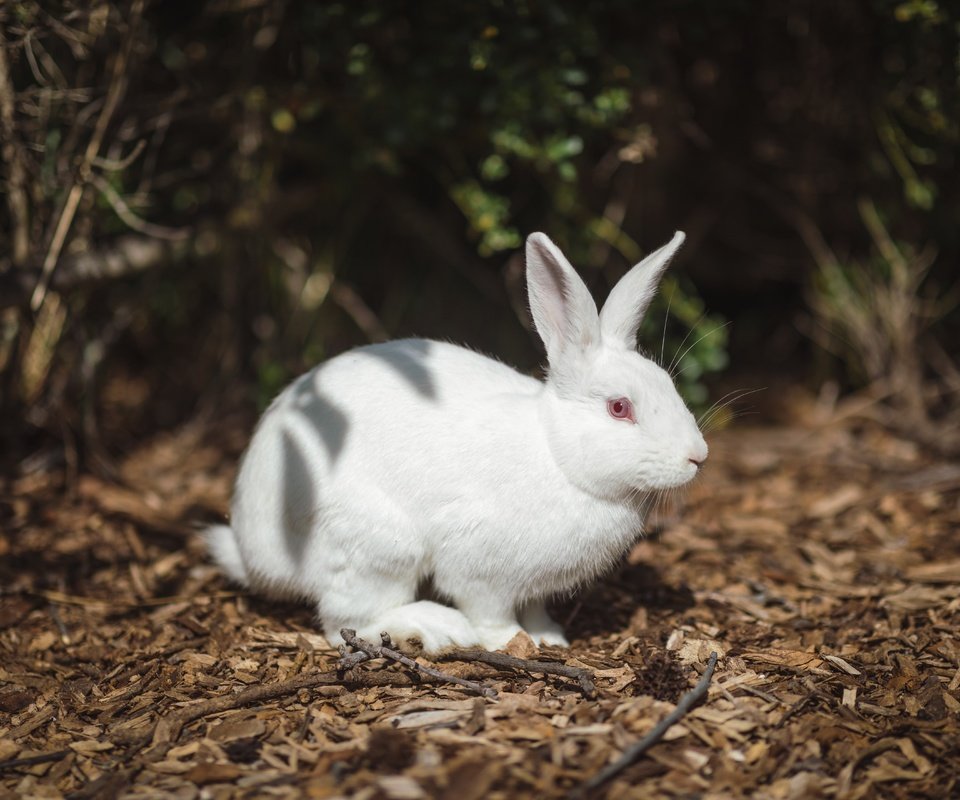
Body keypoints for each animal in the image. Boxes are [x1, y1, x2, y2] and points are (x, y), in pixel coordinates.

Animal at [208, 230, 704, 648]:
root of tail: (252, 553)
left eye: (667, 383)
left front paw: (550, 638)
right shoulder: (479, 570)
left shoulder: (534, 588)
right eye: (619, 408)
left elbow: (536, 609)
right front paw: (511, 642)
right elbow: (491, 613)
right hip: (376, 550)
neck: (558, 457)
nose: (698, 456)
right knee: (346, 624)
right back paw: (438, 627)